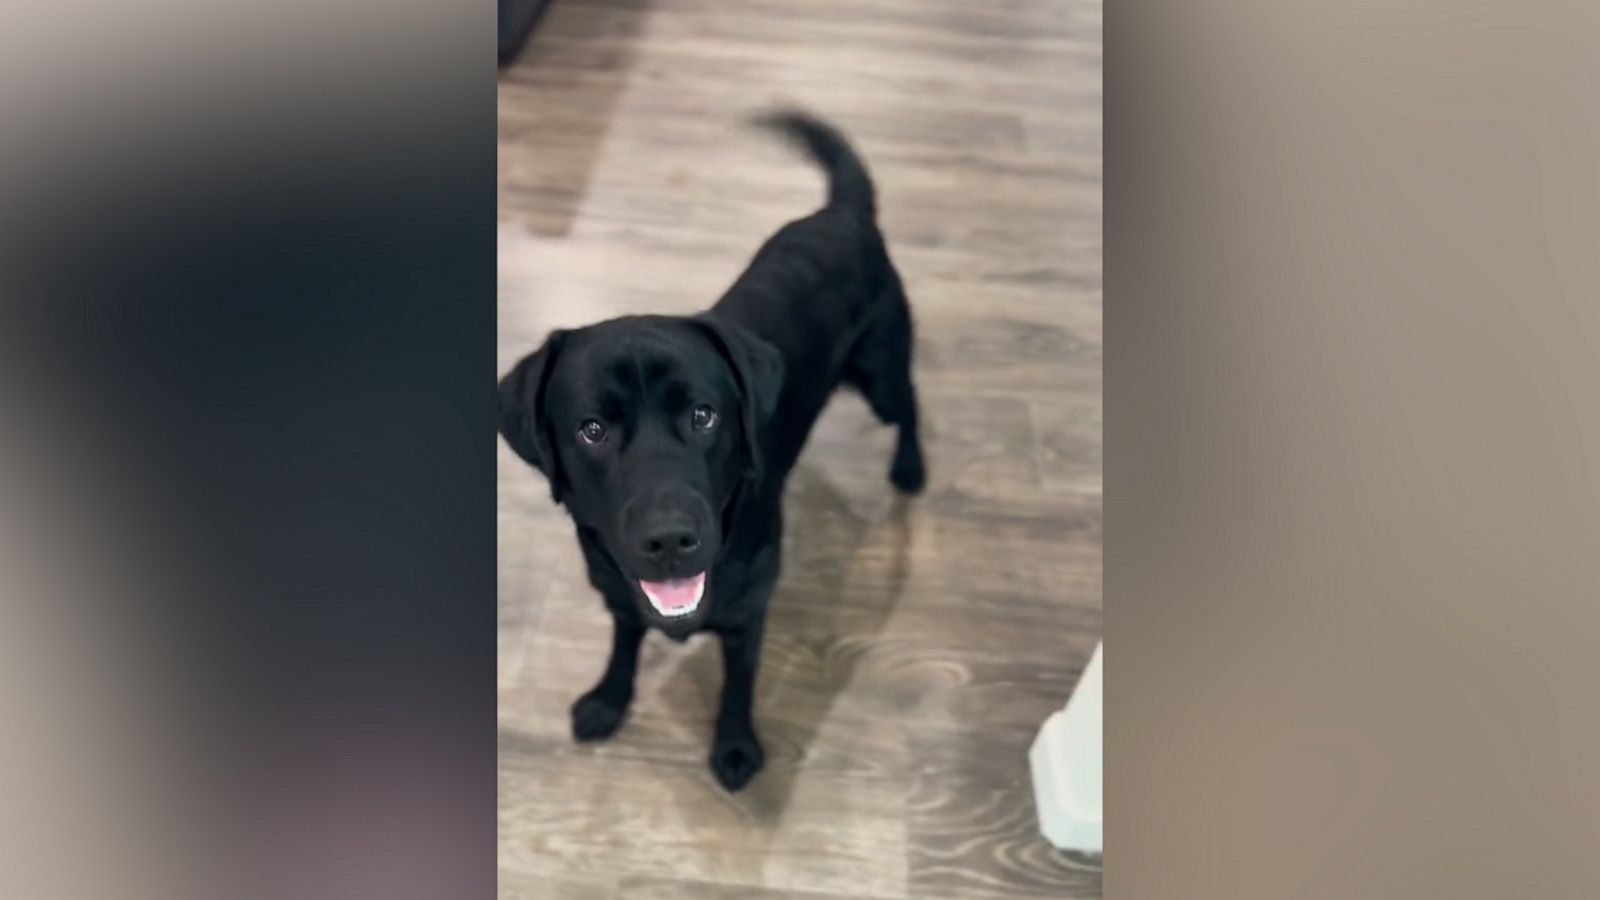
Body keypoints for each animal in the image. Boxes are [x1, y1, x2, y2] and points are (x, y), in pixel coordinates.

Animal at [499, 110, 928, 784]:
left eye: (703, 415)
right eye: (592, 429)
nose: (670, 539)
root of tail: (842, 211)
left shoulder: (748, 616)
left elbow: (738, 683)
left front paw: (735, 747)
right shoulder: (618, 595)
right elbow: (623, 645)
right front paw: (608, 700)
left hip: (881, 371)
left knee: (909, 404)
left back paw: (910, 467)